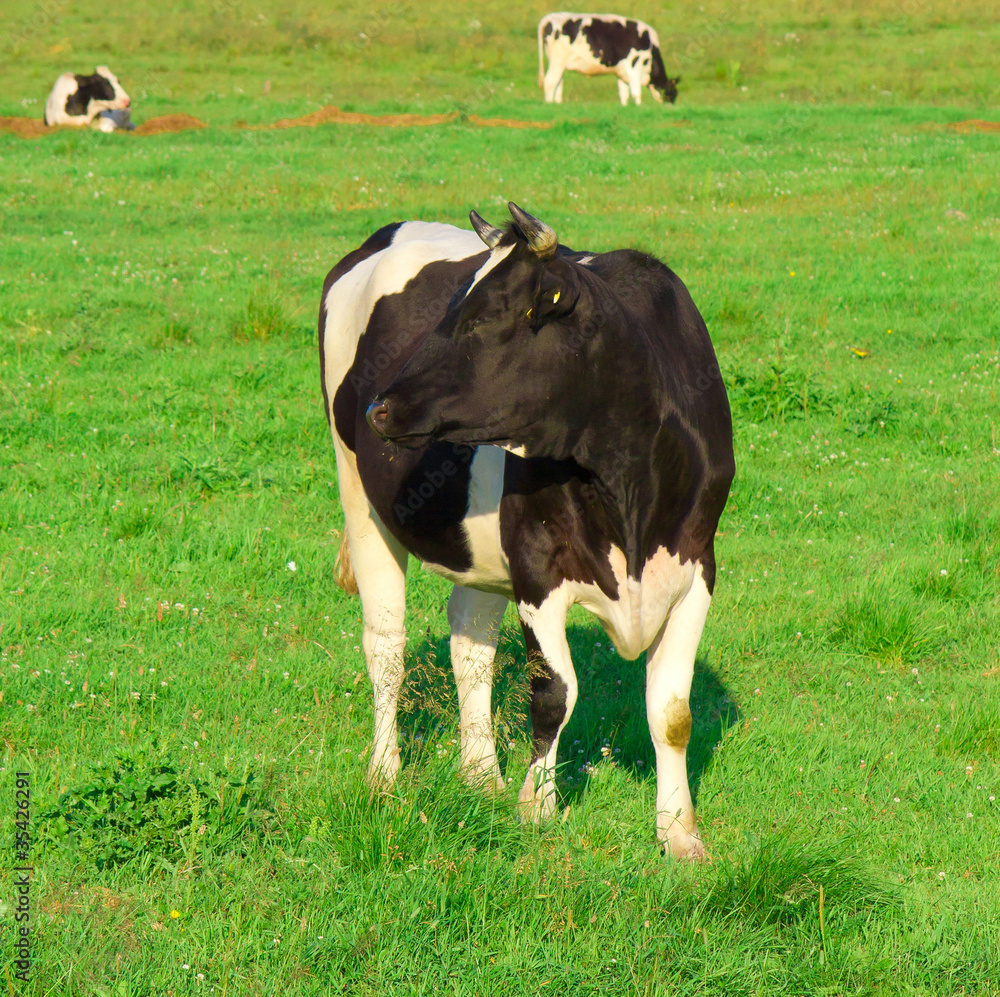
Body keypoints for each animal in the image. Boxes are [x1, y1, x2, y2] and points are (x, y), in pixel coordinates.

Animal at [320, 202, 736, 856]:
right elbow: (553, 695)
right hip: (361, 500)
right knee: (385, 646)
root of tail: (385, 234)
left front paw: (680, 836)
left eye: (487, 316)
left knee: (470, 642)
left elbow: (671, 712)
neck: (626, 483)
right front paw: (536, 809)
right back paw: (384, 777)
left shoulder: (697, 570)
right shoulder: (539, 568)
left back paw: (480, 775)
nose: (378, 408)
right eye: (449, 308)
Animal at [540, 11, 680, 104]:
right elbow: (636, 93)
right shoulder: (633, 67)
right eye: (671, 93)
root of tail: (549, 17)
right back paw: (549, 104)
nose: (670, 107)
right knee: (549, 82)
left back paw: (558, 103)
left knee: (558, 83)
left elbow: (624, 94)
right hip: (557, 62)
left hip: (559, 65)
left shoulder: (621, 72)